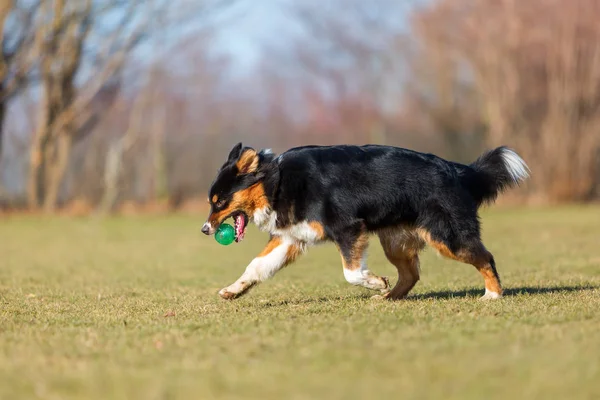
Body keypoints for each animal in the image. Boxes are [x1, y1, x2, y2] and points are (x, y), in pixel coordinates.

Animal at [203, 143, 528, 300]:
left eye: (219, 202)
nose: (205, 230)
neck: (277, 182)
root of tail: (458, 170)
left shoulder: (347, 228)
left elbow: (350, 272)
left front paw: (373, 281)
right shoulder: (290, 238)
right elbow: (256, 266)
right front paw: (233, 290)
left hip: (447, 237)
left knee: (485, 257)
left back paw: (492, 295)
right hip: (396, 241)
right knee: (411, 275)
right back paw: (387, 298)